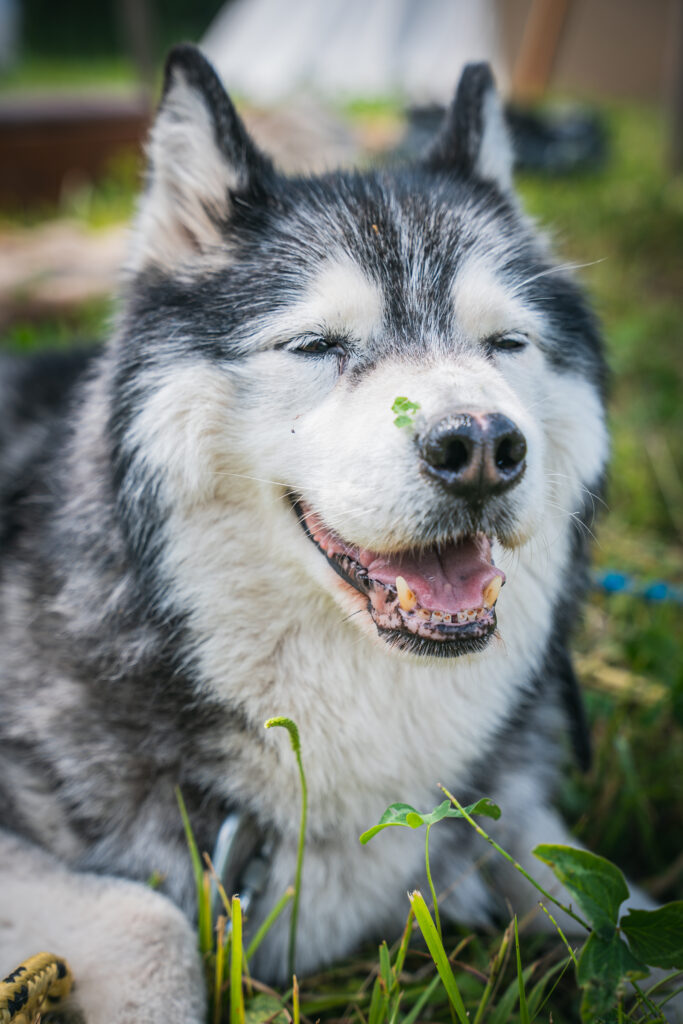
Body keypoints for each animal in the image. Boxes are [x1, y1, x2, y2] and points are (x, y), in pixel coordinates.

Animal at [0, 44, 659, 1023]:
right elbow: (151, 924)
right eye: (314, 345)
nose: (479, 449)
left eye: (505, 343)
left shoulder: (519, 821)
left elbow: (620, 907)